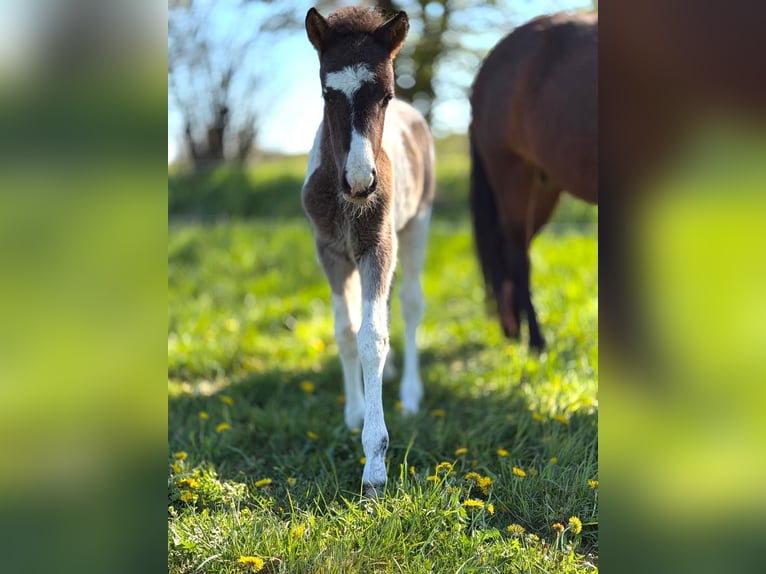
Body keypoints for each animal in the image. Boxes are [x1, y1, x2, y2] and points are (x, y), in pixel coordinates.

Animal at [302, 6, 435, 495]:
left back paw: (411, 393)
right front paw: (355, 411)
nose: (360, 183)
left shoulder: (378, 246)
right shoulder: (331, 252)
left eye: (387, 95)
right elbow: (346, 331)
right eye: (327, 93)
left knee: (411, 304)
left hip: (415, 227)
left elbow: (371, 336)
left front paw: (375, 465)